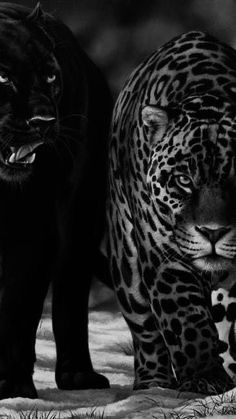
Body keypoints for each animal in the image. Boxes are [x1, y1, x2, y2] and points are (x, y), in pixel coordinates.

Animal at [108, 31, 236, 396]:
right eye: (183, 180)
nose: (212, 232)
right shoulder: (165, 257)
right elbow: (185, 318)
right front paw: (205, 375)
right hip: (127, 269)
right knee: (146, 333)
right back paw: (152, 386)